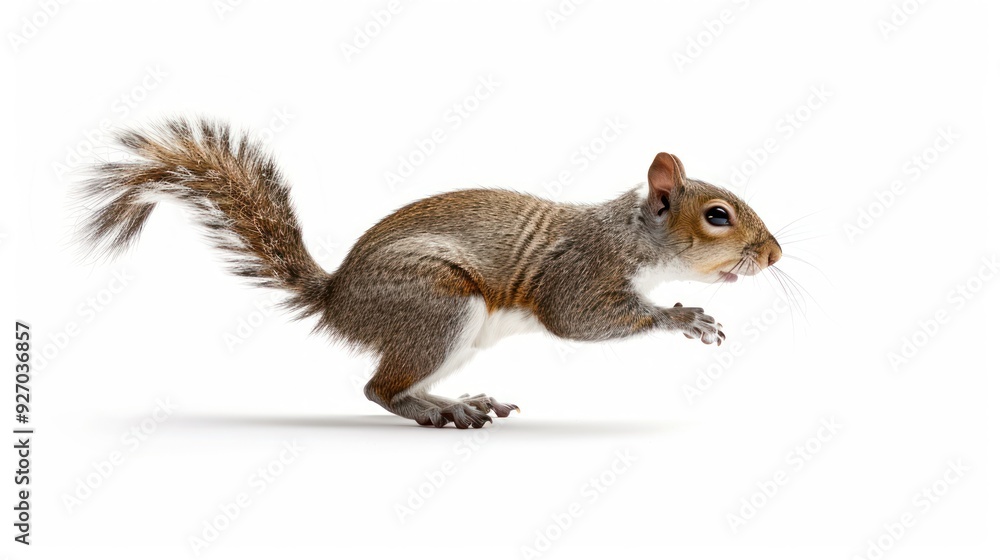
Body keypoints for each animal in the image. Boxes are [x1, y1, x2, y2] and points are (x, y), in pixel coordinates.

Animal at [78, 118, 782, 429]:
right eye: (718, 216)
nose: (773, 255)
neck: (631, 235)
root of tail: (337, 298)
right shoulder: (580, 274)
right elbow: (577, 320)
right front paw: (684, 317)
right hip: (438, 307)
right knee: (379, 390)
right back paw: (439, 412)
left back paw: (461, 401)